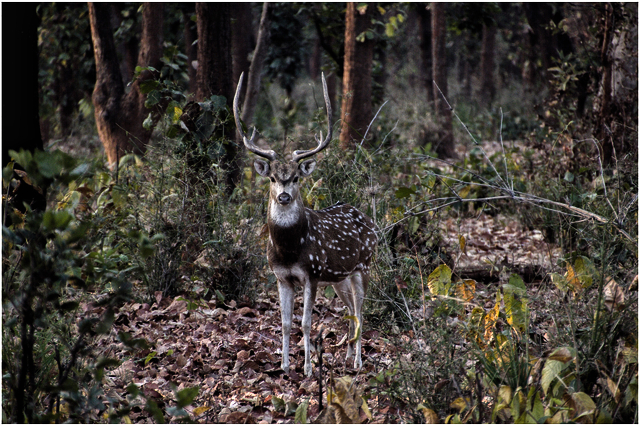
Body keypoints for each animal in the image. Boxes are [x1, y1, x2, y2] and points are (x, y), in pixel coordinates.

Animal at [233, 72, 377, 377]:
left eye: (296, 177)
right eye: (273, 178)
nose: (284, 196)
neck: (289, 249)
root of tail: (372, 222)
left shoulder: (311, 273)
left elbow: (306, 323)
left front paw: (309, 369)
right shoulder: (281, 277)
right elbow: (286, 323)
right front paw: (284, 366)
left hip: (364, 265)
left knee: (361, 310)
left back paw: (358, 362)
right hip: (338, 277)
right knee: (350, 309)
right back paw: (348, 355)